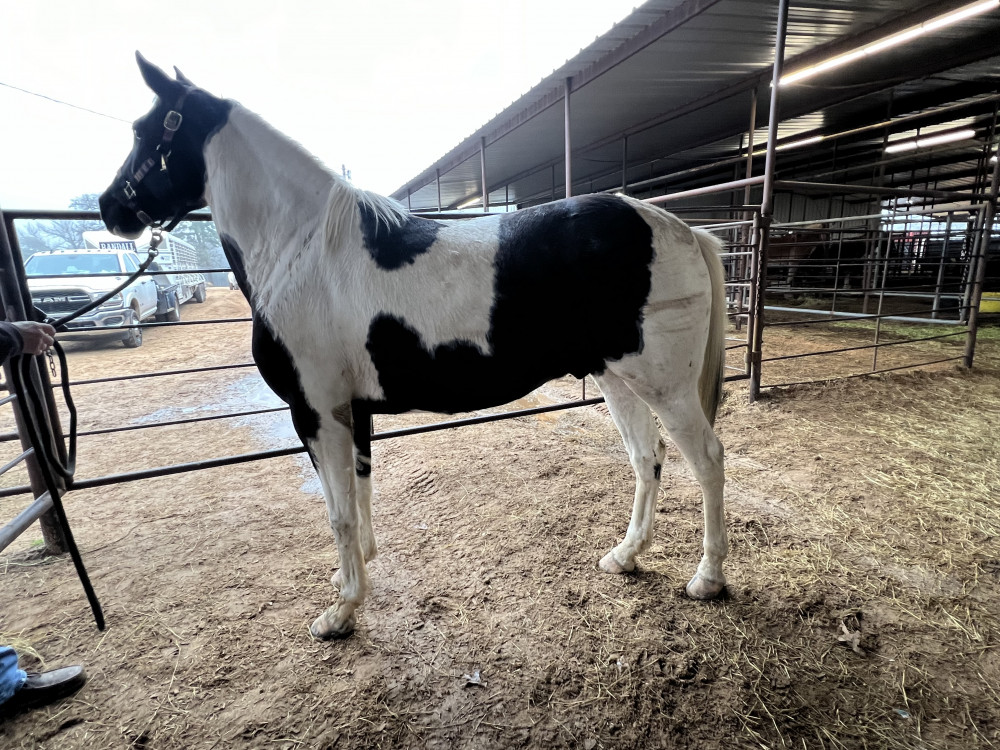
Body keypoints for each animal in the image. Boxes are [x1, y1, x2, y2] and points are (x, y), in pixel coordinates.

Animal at [99, 54, 729, 640]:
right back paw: (624, 557)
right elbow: (358, 493)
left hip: (663, 383)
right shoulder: (350, 411)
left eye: (144, 131)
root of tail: (679, 228)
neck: (301, 249)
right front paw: (352, 578)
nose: (110, 208)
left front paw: (339, 614)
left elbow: (338, 513)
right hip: (616, 377)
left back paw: (708, 579)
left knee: (706, 459)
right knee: (646, 458)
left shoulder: (315, 412)